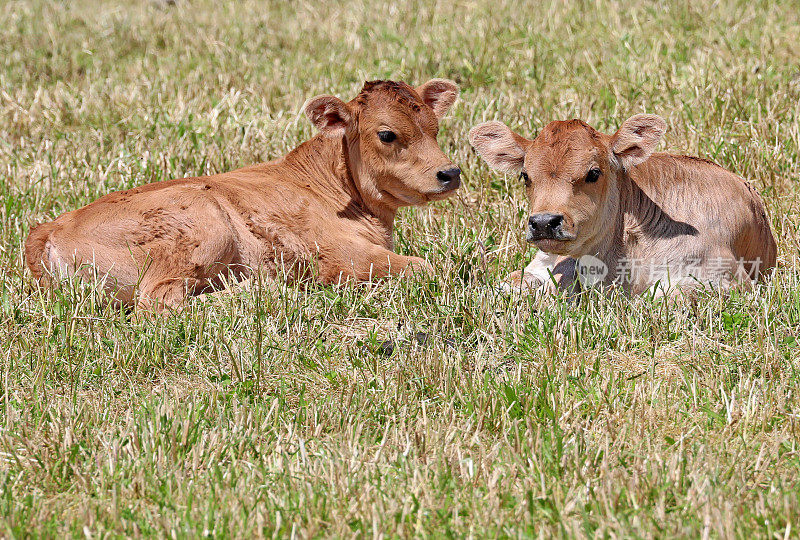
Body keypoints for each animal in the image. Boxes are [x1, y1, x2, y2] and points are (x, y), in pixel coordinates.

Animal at [25, 78, 460, 310]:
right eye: (387, 134)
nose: (450, 173)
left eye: (435, 127)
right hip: (201, 225)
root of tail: (49, 227)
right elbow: (427, 267)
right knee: (160, 300)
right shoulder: (343, 256)